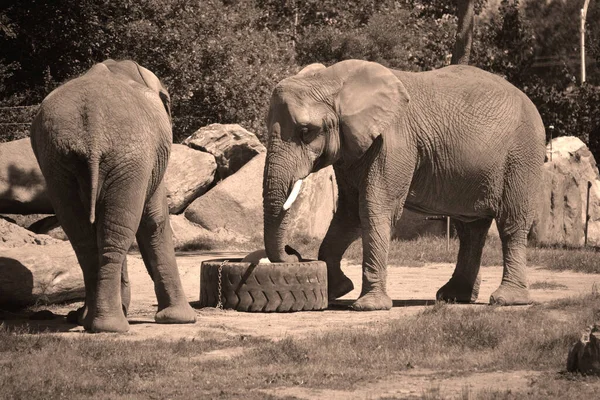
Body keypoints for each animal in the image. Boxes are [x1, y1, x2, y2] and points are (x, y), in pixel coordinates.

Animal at [30, 58, 196, 332]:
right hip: (128, 157)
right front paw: (183, 319)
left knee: (85, 236)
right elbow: (154, 220)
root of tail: (92, 131)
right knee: (116, 231)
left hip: (60, 161)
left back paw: (88, 320)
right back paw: (110, 326)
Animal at [264, 59, 548, 310]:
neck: (332, 81)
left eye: (305, 132)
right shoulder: (350, 149)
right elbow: (349, 213)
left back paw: (507, 300)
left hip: (522, 155)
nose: (294, 254)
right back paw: (453, 297)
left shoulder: (394, 142)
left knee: (511, 222)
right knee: (470, 229)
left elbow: (374, 209)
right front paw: (336, 291)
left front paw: (368, 306)